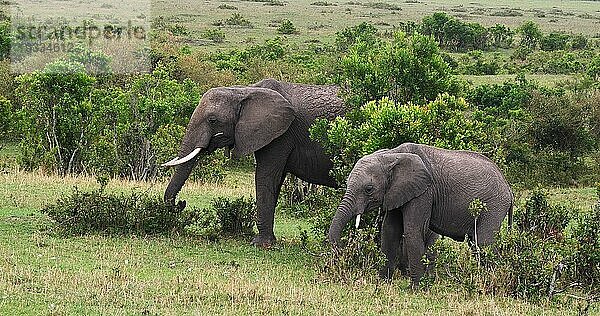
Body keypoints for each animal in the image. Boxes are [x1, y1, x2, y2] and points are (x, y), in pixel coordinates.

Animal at [163, 78, 342, 247]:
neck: (245, 90)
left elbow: (265, 176)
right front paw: (269, 241)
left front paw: (260, 244)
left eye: (212, 120)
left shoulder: (280, 134)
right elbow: (275, 182)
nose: (182, 203)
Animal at [326, 143, 512, 286]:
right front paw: (383, 283)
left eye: (369, 189)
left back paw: (492, 281)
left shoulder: (424, 192)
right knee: (476, 243)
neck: (391, 155)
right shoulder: (397, 191)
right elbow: (390, 231)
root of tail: (509, 188)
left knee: (484, 242)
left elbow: (413, 231)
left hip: (494, 206)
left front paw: (416, 288)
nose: (342, 250)